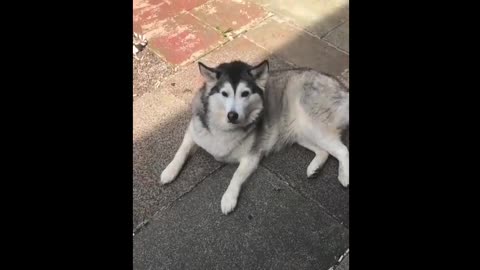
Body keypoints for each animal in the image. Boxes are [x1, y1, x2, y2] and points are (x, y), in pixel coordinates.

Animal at [161, 60, 348, 214]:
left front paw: (228, 198)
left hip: (312, 125)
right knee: (324, 151)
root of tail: (341, 86)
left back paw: (344, 177)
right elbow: (181, 151)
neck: (224, 128)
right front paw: (169, 171)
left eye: (245, 93)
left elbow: (236, 175)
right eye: (224, 93)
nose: (232, 115)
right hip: (301, 132)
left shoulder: (252, 156)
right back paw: (314, 168)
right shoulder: (194, 130)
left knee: (343, 151)